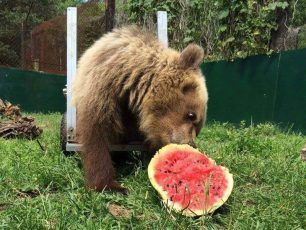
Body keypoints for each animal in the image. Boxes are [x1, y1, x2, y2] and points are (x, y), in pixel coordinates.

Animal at [72, 26, 208, 193]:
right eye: (191, 115)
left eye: (199, 126)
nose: (191, 144)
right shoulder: (103, 88)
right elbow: (96, 136)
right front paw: (110, 185)